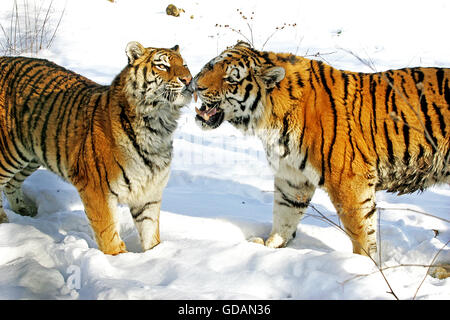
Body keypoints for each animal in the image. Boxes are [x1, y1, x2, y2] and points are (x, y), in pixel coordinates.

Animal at [0, 41, 192, 255]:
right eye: (162, 66)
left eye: (185, 65)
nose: (189, 79)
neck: (159, 126)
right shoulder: (96, 189)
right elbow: (108, 234)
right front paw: (118, 259)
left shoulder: (149, 193)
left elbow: (150, 233)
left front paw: (154, 256)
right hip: (9, 154)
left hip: (29, 155)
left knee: (11, 183)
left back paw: (24, 210)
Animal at [193, 40, 450, 258]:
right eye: (210, 66)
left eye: (231, 79)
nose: (196, 85)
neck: (270, 118)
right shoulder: (292, 177)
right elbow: (284, 214)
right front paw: (271, 246)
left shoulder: (350, 182)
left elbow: (361, 232)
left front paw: (364, 266)